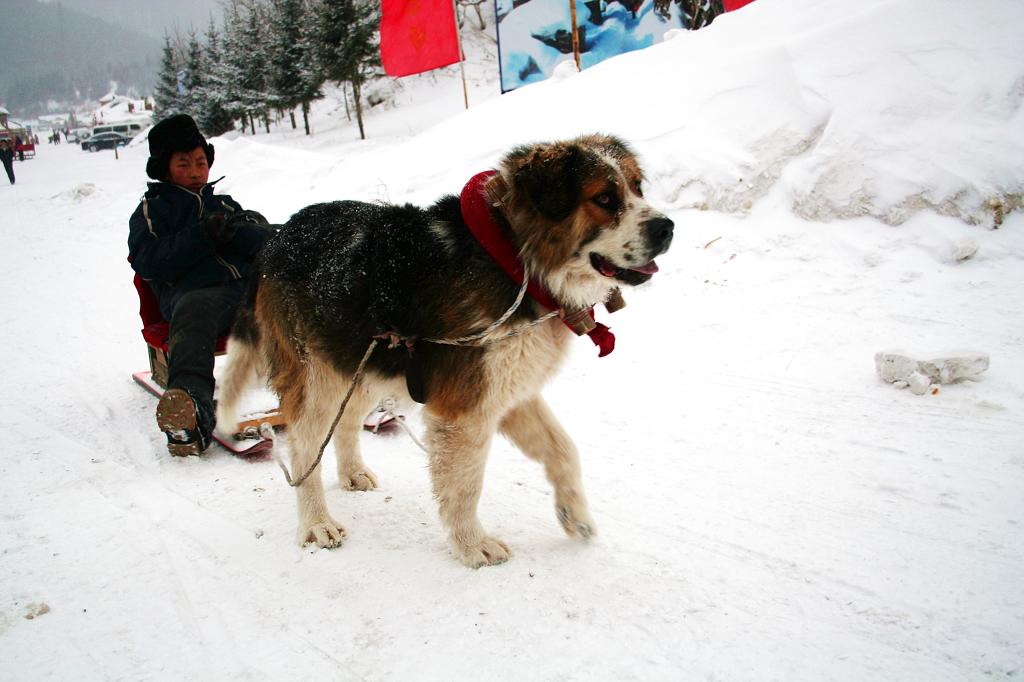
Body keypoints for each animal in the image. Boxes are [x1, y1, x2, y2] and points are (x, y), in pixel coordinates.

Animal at [216, 133, 671, 561]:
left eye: (637, 187)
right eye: (604, 198)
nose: (667, 228)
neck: (514, 259)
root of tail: (277, 238)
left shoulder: (509, 388)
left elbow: (563, 450)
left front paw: (574, 515)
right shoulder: (465, 408)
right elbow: (466, 484)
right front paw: (472, 545)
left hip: (362, 365)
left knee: (344, 423)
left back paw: (352, 473)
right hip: (317, 378)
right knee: (306, 445)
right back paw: (316, 522)